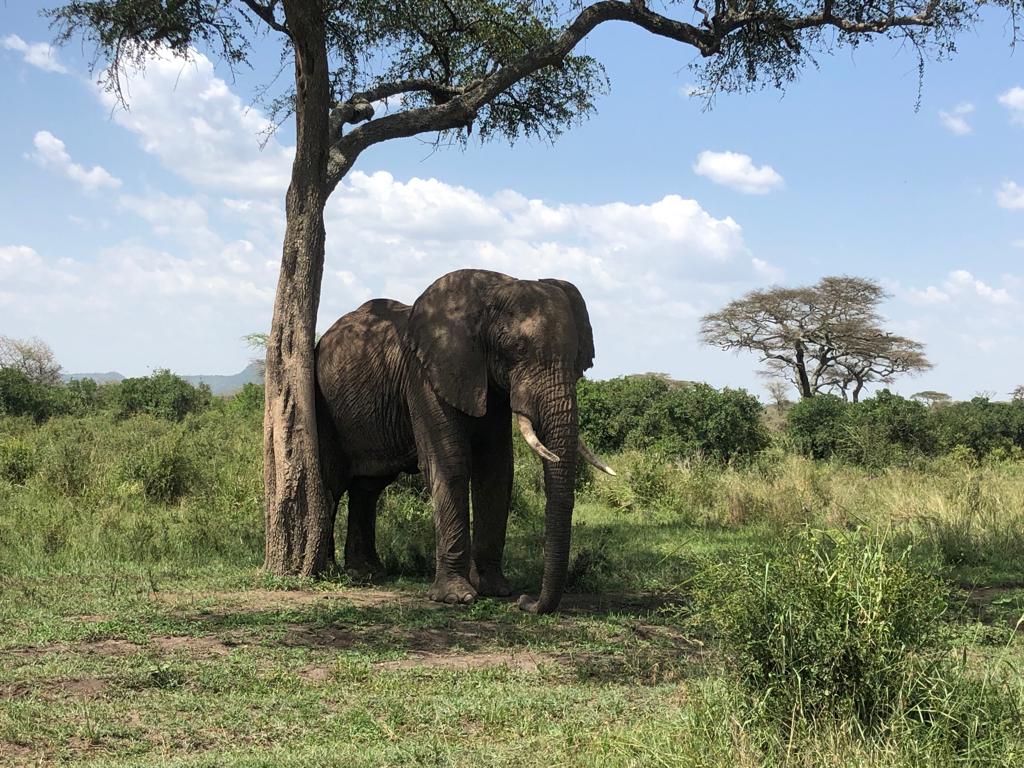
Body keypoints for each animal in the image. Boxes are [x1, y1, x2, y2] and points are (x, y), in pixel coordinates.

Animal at [315, 268, 610, 618]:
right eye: (518, 349)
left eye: (578, 357)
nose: (527, 602)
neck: (492, 290)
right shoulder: (425, 376)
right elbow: (450, 462)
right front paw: (458, 598)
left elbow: (497, 470)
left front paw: (495, 590)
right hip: (324, 404)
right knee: (333, 483)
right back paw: (328, 571)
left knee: (368, 488)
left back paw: (368, 573)